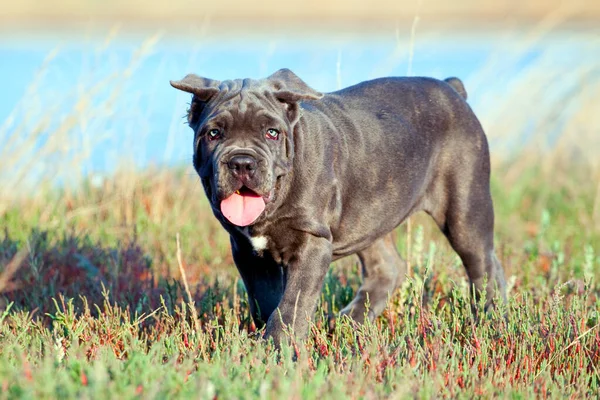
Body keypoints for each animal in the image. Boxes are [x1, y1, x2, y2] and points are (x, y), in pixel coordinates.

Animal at [170, 69, 506, 344]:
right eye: (214, 133)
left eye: (271, 133)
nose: (242, 161)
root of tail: (453, 89)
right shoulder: (247, 251)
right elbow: (265, 302)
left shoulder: (312, 244)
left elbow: (291, 305)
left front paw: (278, 351)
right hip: (370, 214)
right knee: (389, 267)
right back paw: (349, 322)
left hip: (465, 211)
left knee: (484, 267)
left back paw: (489, 322)